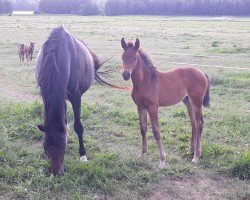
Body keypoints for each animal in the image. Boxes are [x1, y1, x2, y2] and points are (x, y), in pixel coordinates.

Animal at [36, 26, 111, 175]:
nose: (57, 173)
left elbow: (78, 126)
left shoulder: (76, 97)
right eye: (45, 149)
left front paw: (83, 155)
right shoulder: (44, 94)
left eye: (64, 149)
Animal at [120, 38, 210, 169]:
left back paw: (196, 156)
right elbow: (143, 129)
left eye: (135, 58)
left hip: (196, 102)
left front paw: (162, 160)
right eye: (122, 57)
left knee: (199, 124)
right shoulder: (140, 107)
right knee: (193, 123)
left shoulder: (153, 108)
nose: (126, 75)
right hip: (188, 102)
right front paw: (143, 154)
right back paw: (191, 150)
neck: (145, 82)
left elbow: (156, 132)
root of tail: (202, 73)